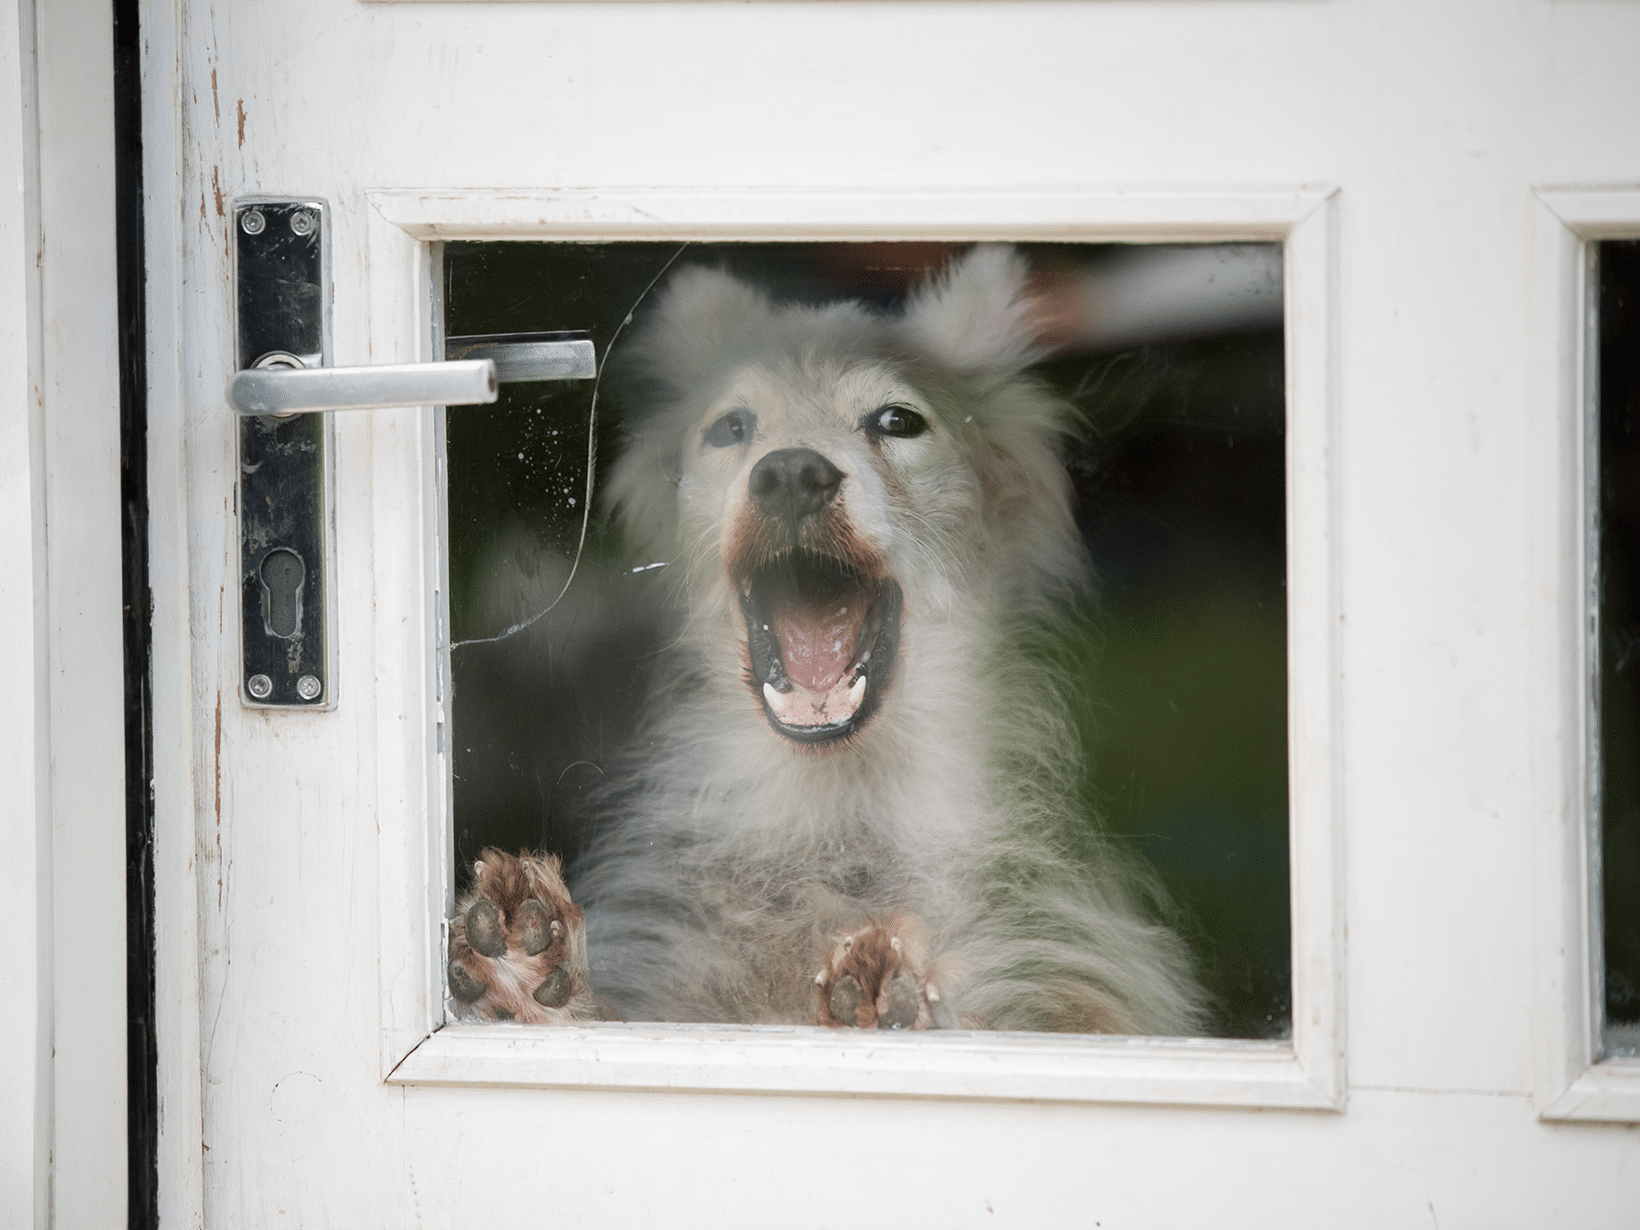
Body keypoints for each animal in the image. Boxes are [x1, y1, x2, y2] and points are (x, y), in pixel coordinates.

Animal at [449, 250, 1207, 1043]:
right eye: (731, 426)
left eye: (898, 420)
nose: (790, 473)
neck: (843, 819)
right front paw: (528, 977)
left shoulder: (1066, 984)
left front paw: (900, 1001)